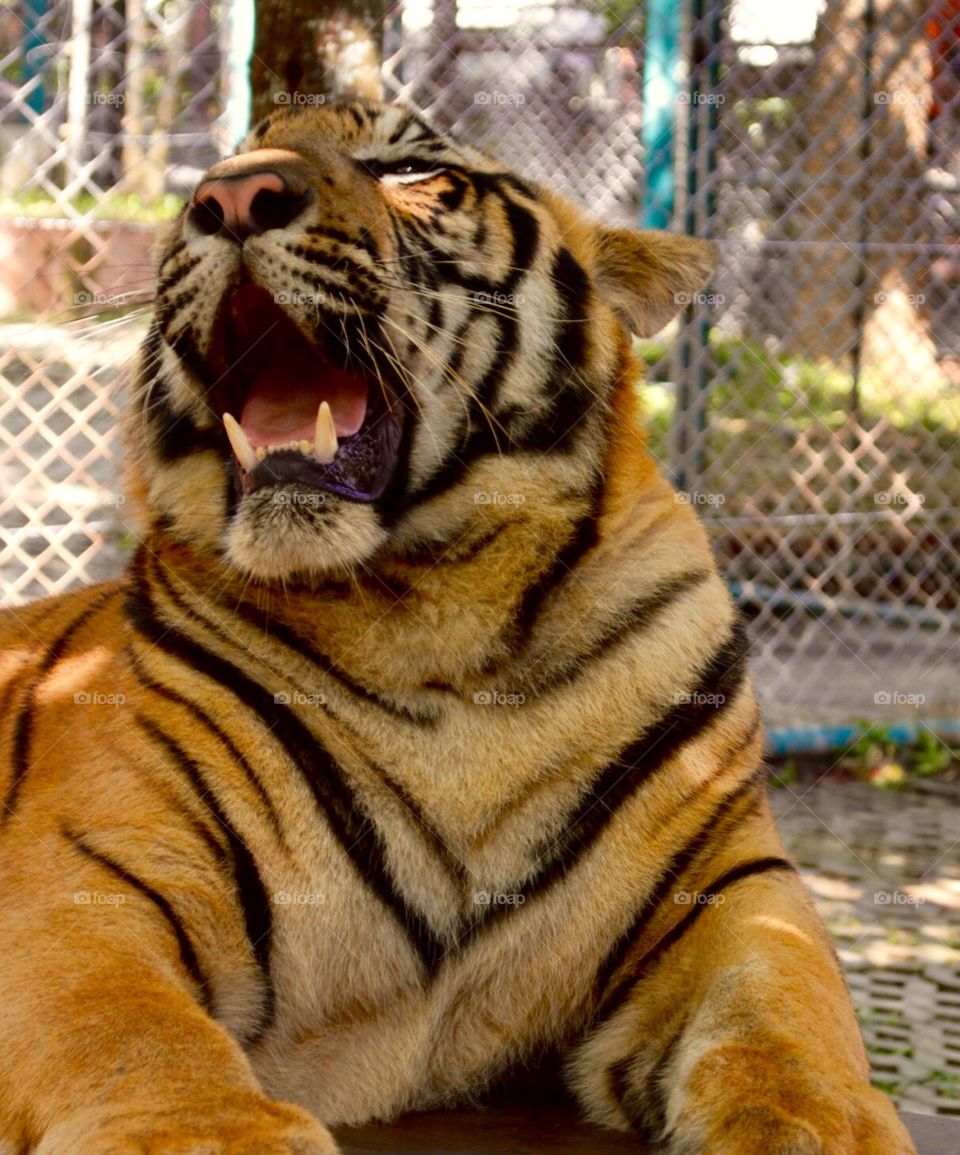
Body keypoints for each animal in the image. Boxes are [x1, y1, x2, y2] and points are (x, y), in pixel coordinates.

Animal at [0, 99, 914, 1155]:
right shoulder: (87, 873)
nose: (228, 198)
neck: (437, 620)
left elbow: (788, 1005)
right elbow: (129, 1031)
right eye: (221, 166)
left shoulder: (731, 878)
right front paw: (215, 1132)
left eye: (407, 170)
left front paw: (817, 1124)